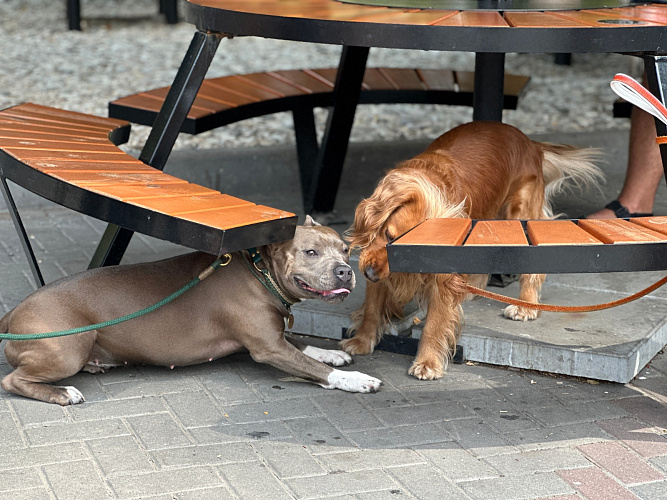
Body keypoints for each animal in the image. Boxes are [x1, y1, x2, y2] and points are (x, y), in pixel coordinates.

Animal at [0, 217, 380, 404]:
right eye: (310, 252)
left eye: (345, 250)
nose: (345, 271)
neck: (260, 270)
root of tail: (12, 313)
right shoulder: (267, 347)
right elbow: (315, 369)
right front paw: (356, 380)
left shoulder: (270, 337)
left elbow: (304, 347)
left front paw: (332, 353)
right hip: (68, 348)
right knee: (13, 380)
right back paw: (62, 393)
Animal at [342, 121, 604, 378]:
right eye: (388, 234)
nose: (369, 274)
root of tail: (529, 141)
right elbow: (373, 307)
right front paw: (362, 340)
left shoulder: (439, 274)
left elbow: (435, 321)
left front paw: (427, 362)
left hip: (519, 213)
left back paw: (524, 305)